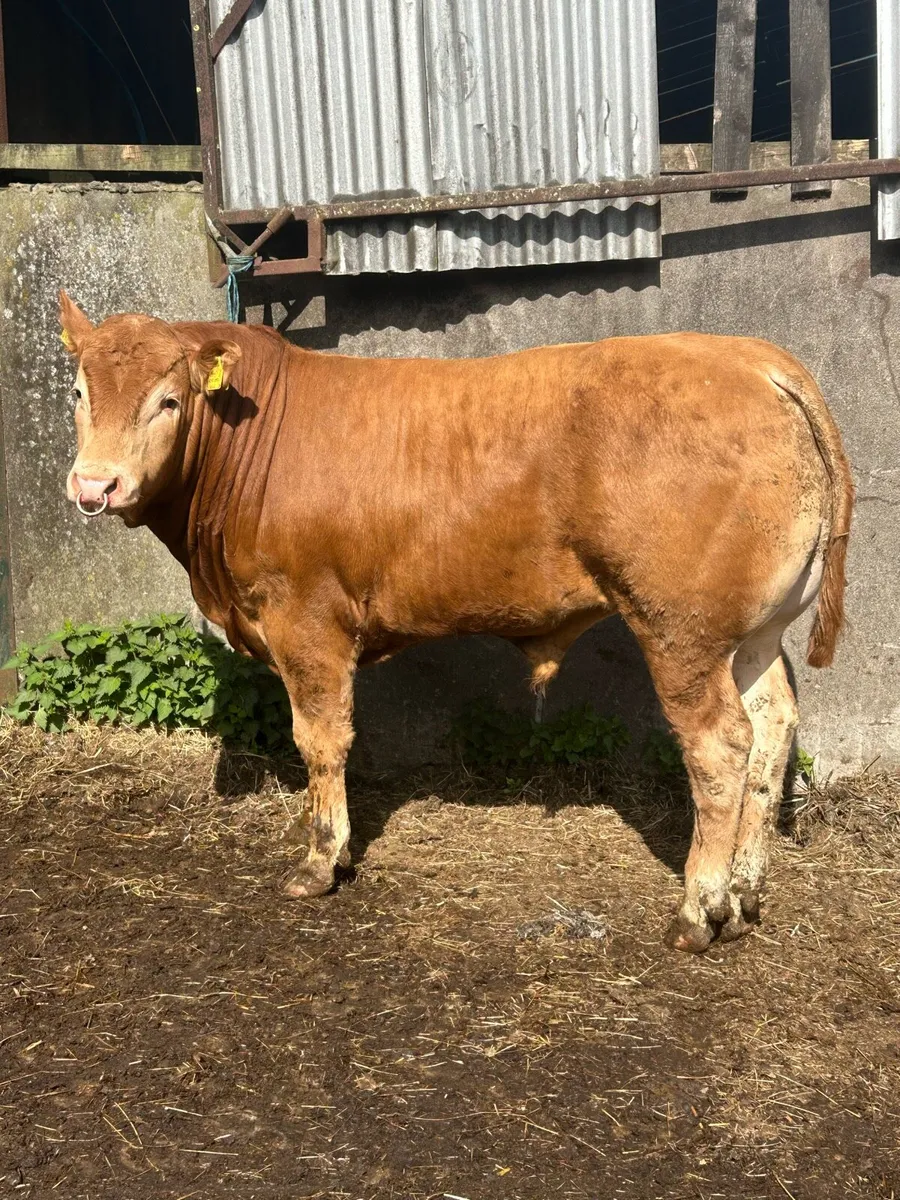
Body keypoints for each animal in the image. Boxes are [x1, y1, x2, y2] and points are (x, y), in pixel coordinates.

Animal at [58, 290, 853, 953]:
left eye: (168, 400)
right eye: (78, 392)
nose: (96, 485)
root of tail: (754, 359)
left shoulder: (304, 618)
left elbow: (320, 740)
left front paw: (320, 860)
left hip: (679, 629)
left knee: (720, 747)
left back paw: (698, 911)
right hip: (751, 632)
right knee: (772, 725)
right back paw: (745, 894)